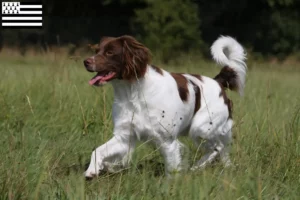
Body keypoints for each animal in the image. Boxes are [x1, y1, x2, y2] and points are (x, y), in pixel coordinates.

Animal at [84, 35, 246, 177]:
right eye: (97, 50)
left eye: (110, 52)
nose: (86, 61)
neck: (133, 91)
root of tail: (218, 82)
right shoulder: (124, 137)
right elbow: (97, 151)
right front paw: (92, 171)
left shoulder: (167, 141)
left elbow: (172, 171)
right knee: (221, 151)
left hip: (201, 128)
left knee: (217, 148)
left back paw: (196, 167)